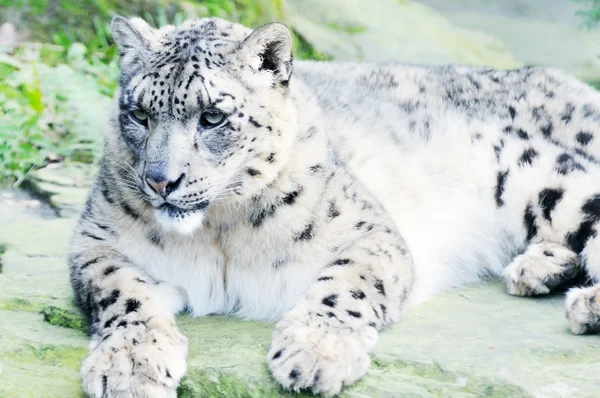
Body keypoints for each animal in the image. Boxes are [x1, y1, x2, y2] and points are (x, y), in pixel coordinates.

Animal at [68, 16, 600, 398]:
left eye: (213, 116)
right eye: (139, 114)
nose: (160, 180)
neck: (217, 232)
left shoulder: (371, 232)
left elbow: (347, 283)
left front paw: (316, 352)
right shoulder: (96, 241)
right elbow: (122, 291)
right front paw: (130, 365)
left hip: (539, 174)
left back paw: (583, 303)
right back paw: (537, 270)